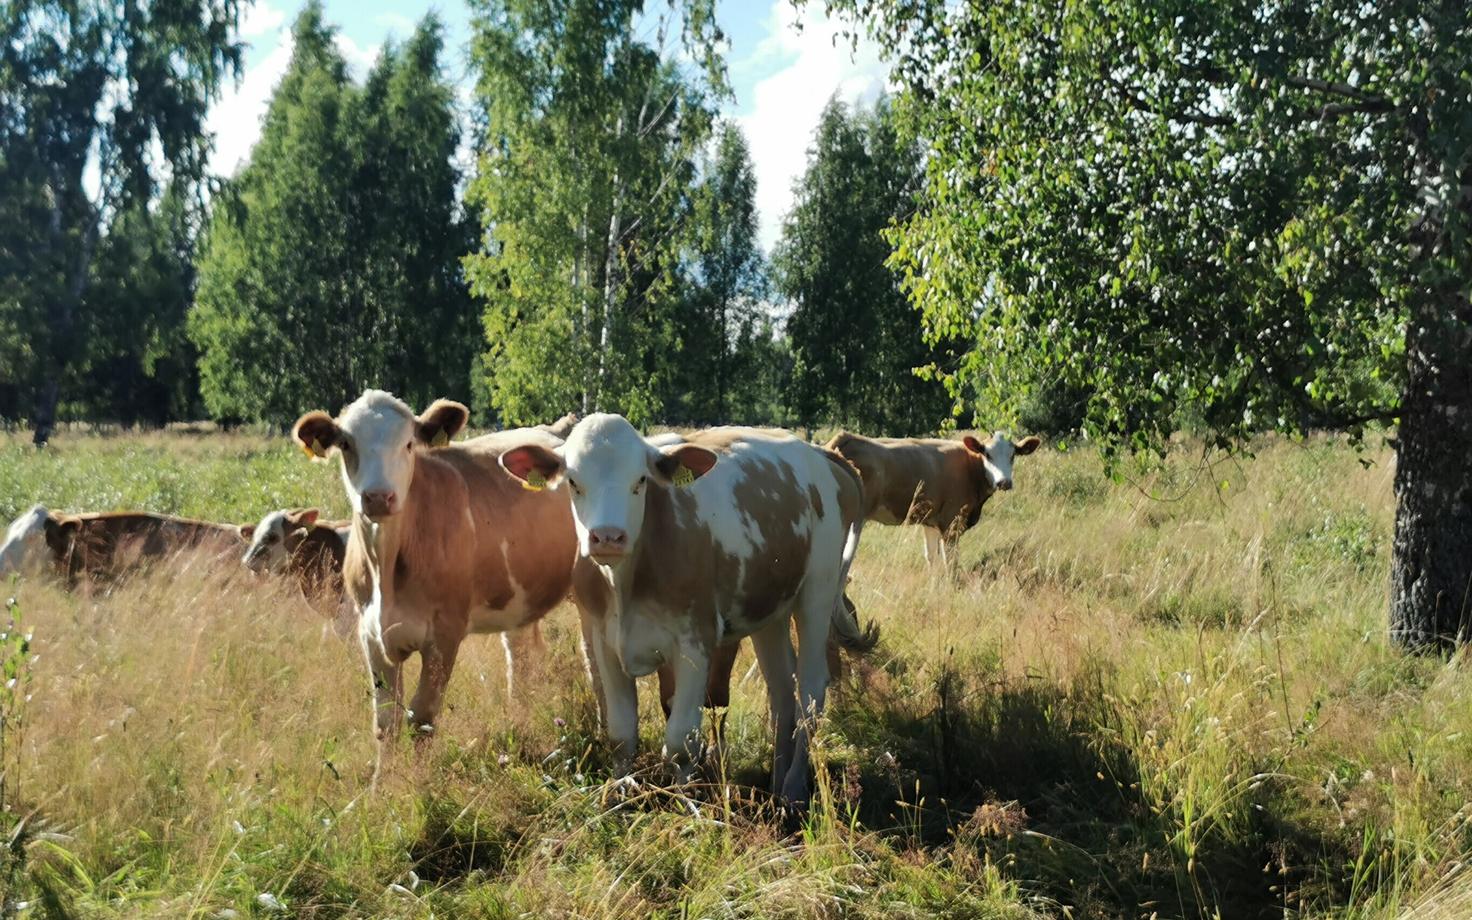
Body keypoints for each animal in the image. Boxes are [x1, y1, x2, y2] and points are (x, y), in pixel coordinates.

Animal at [292, 390, 578, 779]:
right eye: (347, 444)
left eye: (409, 443)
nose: (378, 497)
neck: (388, 566)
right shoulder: (371, 635)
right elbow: (387, 722)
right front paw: (382, 785)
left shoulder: (444, 634)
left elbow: (422, 718)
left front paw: (420, 783)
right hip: (518, 600)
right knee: (521, 660)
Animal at [499, 415, 876, 804]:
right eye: (574, 481)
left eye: (641, 480)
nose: (607, 537)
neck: (625, 582)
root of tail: (819, 454)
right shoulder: (604, 641)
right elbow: (621, 735)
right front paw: (619, 798)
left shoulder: (695, 643)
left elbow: (681, 742)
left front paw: (686, 805)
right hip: (770, 607)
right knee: (783, 692)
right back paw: (775, 784)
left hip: (818, 591)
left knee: (811, 693)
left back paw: (794, 789)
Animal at [826, 431, 1041, 568]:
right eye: (987, 454)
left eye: (1013, 455)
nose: (1004, 482)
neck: (970, 466)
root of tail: (845, 438)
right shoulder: (952, 522)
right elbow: (950, 562)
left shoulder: (930, 522)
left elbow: (932, 558)